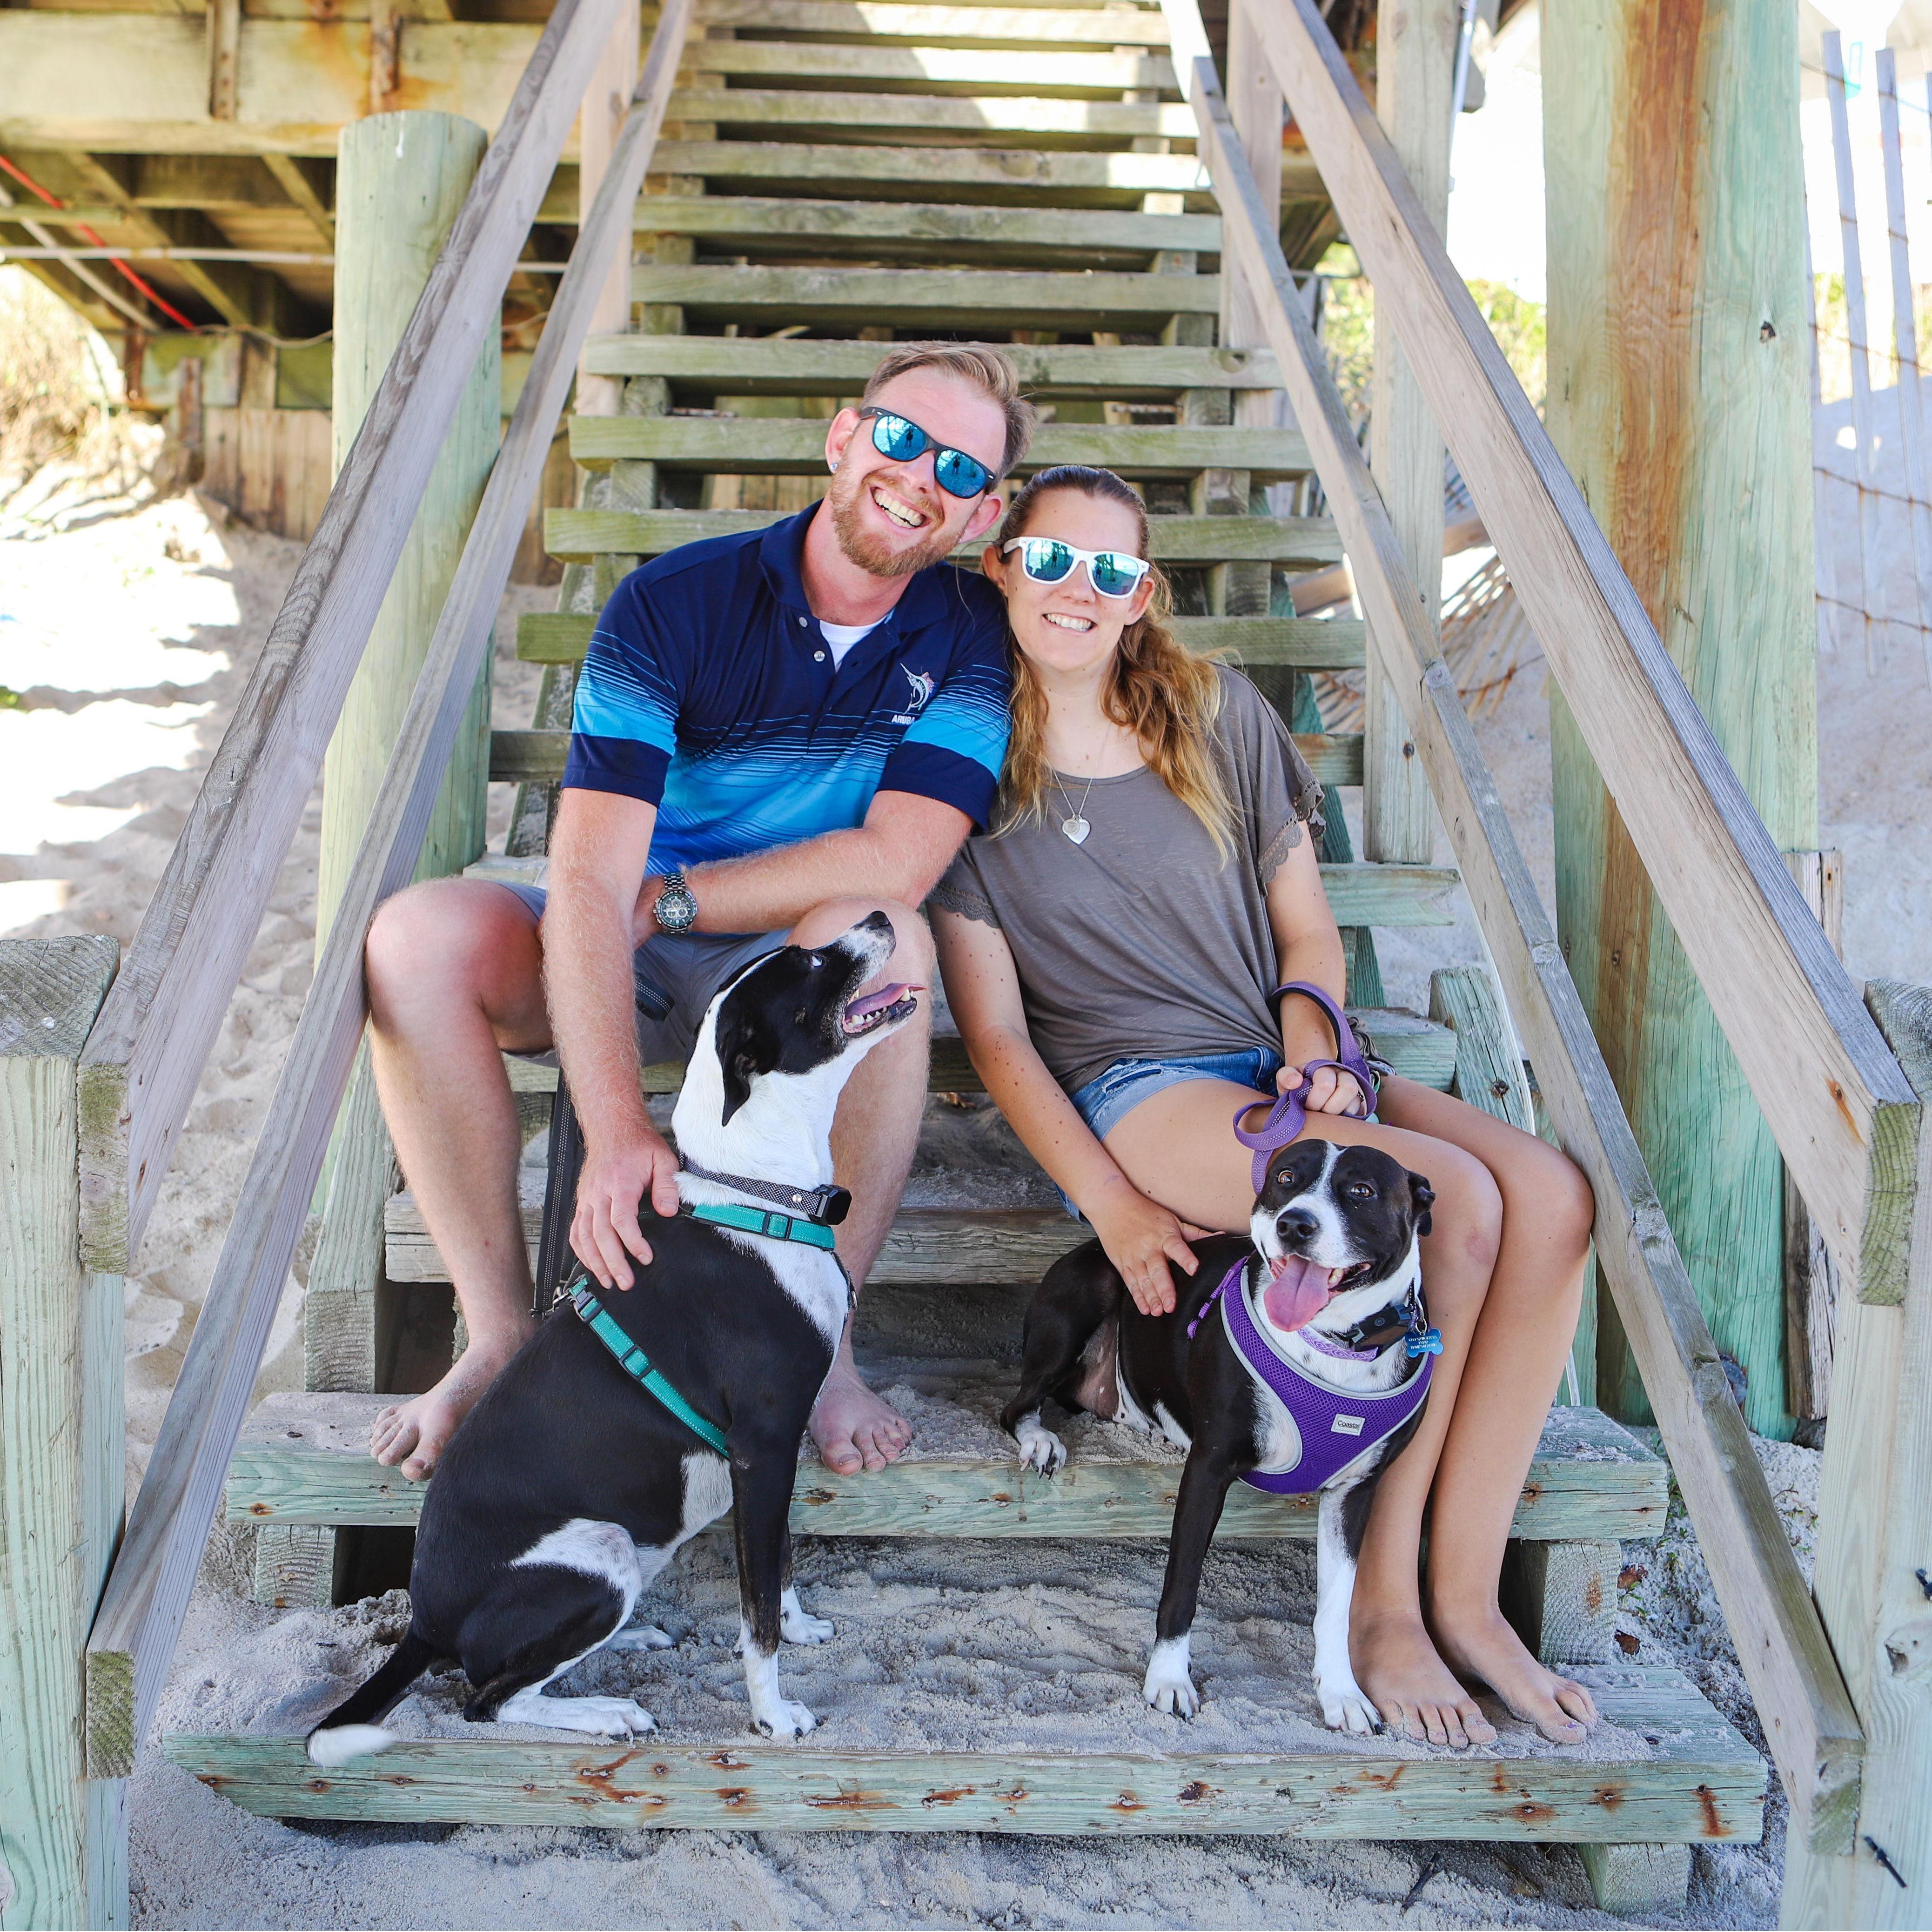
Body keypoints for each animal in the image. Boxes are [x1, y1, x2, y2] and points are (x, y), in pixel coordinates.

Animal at [306, 912, 918, 1764]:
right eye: (809, 964)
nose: (880, 918)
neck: (753, 1193)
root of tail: (423, 1623)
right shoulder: (761, 1450)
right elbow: (756, 1612)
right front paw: (771, 1715)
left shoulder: (773, 1460)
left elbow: (780, 1570)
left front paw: (800, 1630)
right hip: (596, 1554)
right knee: (486, 1698)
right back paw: (604, 1712)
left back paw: (629, 1642)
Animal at [1000, 1139, 1436, 1733]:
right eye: (1285, 1177)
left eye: (1362, 1191)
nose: (1295, 1224)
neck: (1331, 1346)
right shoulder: (1208, 1471)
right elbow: (1182, 1587)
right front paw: (1169, 1679)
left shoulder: (1355, 1495)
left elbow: (1336, 1607)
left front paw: (1341, 1693)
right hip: (1082, 1302)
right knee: (1017, 1406)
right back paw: (1040, 1439)